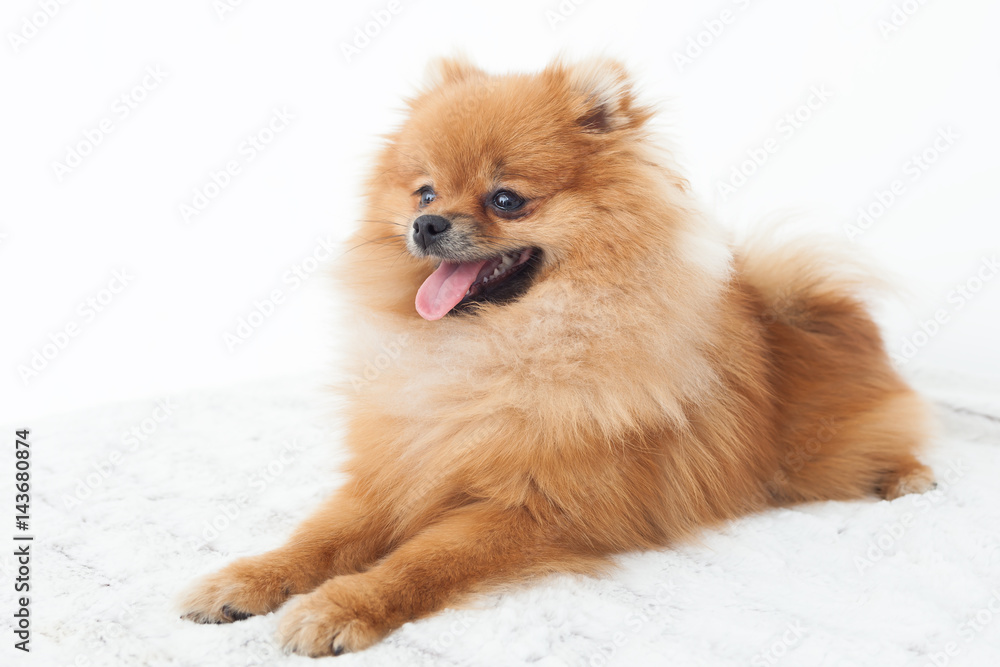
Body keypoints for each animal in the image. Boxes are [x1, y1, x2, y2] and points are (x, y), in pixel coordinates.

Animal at [180, 58, 936, 656]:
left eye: (506, 199)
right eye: (424, 191)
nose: (426, 223)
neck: (488, 348)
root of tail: (820, 311)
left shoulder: (536, 508)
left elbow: (422, 560)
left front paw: (343, 605)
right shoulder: (399, 470)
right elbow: (319, 537)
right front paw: (246, 579)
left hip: (822, 457)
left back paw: (907, 476)